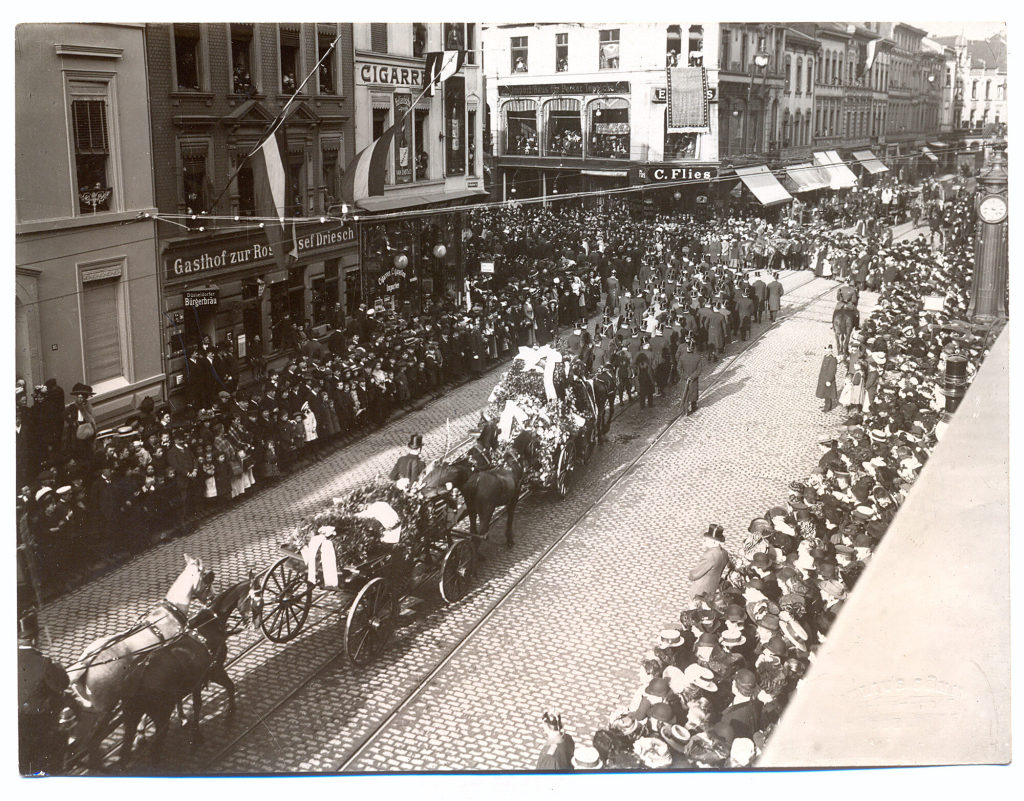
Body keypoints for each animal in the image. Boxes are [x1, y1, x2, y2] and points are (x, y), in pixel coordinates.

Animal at [115, 577, 250, 770]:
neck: (206, 626)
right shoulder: (215, 670)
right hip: (161, 716)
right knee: (155, 747)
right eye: (253, 595)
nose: (252, 620)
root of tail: (138, 678)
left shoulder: (197, 683)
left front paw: (196, 733)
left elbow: (197, 705)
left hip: (131, 717)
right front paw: (230, 711)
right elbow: (229, 688)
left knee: (125, 751)